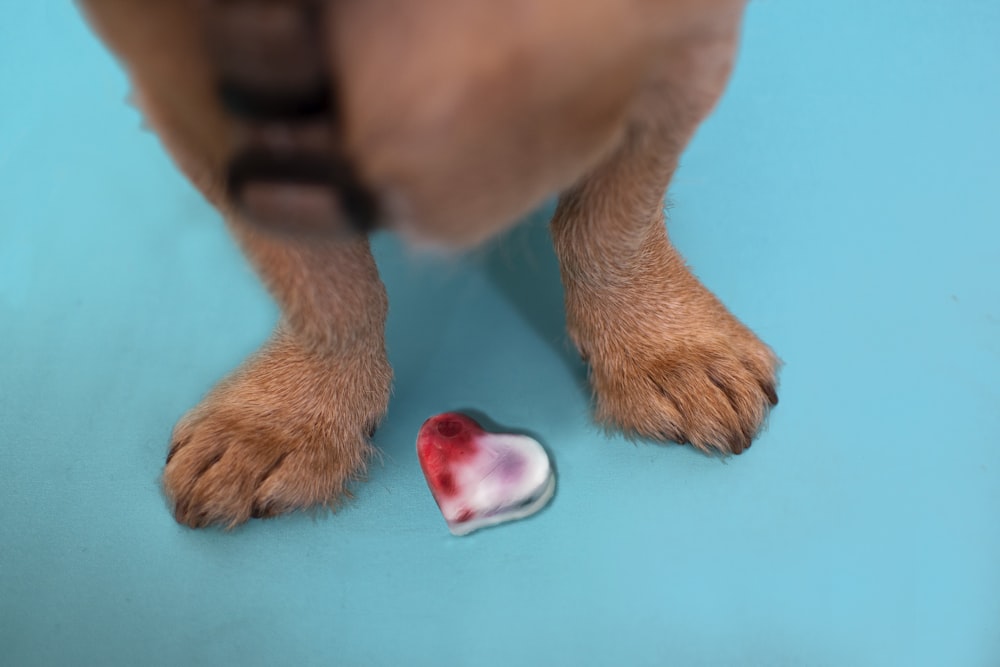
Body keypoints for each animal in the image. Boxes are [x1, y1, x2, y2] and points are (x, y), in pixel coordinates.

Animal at [80, 1, 780, 532]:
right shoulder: (206, 111)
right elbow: (324, 287)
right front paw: (288, 415)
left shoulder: (683, 50)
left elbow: (613, 223)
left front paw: (662, 345)